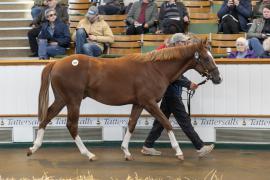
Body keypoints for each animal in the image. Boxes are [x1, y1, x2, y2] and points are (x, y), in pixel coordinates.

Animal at [26, 39, 221, 160]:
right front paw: (179, 152)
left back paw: (33, 148)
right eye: (206, 58)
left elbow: (131, 125)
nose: (218, 78)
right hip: (73, 101)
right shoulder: (149, 103)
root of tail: (56, 62)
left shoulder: (139, 103)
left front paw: (126, 152)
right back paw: (88, 154)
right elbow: (166, 123)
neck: (155, 69)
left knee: (46, 117)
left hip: (62, 99)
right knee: (71, 126)